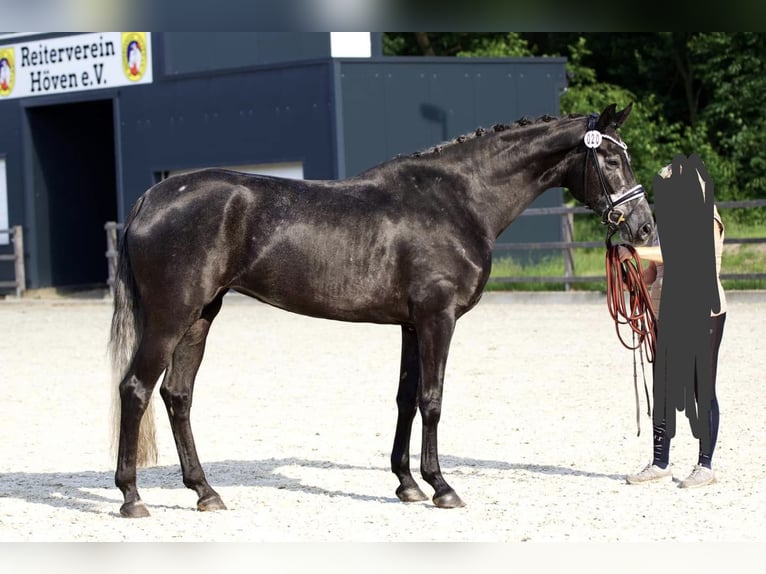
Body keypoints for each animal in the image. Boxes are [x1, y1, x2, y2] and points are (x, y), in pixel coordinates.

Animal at [111, 101, 656, 520]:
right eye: (611, 159)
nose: (644, 227)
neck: (458, 199)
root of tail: (153, 196)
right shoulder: (438, 318)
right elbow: (433, 400)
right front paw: (442, 488)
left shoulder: (412, 325)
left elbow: (405, 399)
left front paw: (407, 484)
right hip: (170, 317)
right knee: (135, 390)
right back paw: (132, 497)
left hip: (200, 315)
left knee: (178, 396)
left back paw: (205, 492)